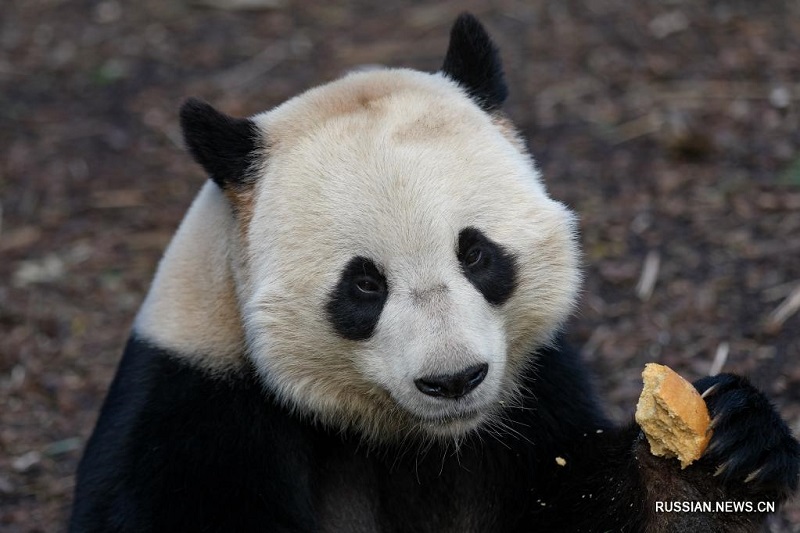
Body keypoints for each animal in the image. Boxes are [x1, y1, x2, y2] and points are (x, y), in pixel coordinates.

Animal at [72, 12, 796, 532]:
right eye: (364, 283)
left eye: (475, 253)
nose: (454, 380)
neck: (416, 441)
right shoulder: (191, 403)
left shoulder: (536, 393)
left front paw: (724, 446)